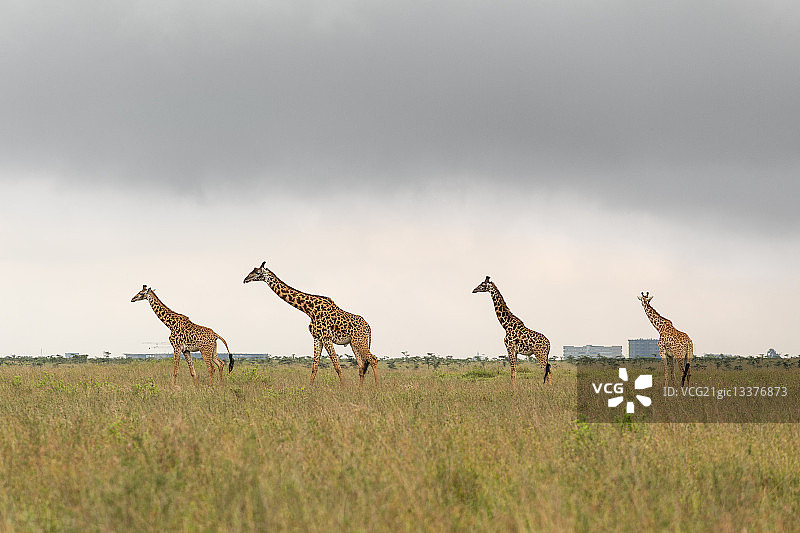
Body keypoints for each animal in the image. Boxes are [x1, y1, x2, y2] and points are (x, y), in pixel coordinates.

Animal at [243, 261, 380, 387]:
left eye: (258, 272)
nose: (245, 279)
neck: (309, 310)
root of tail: (369, 327)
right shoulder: (317, 338)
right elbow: (314, 367)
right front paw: (309, 389)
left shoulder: (326, 337)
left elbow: (337, 366)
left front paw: (344, 389)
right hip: (354, 343)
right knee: (361, 366)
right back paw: (360, 389)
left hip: (360, 341)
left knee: (373, 359)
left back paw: (377, 388)